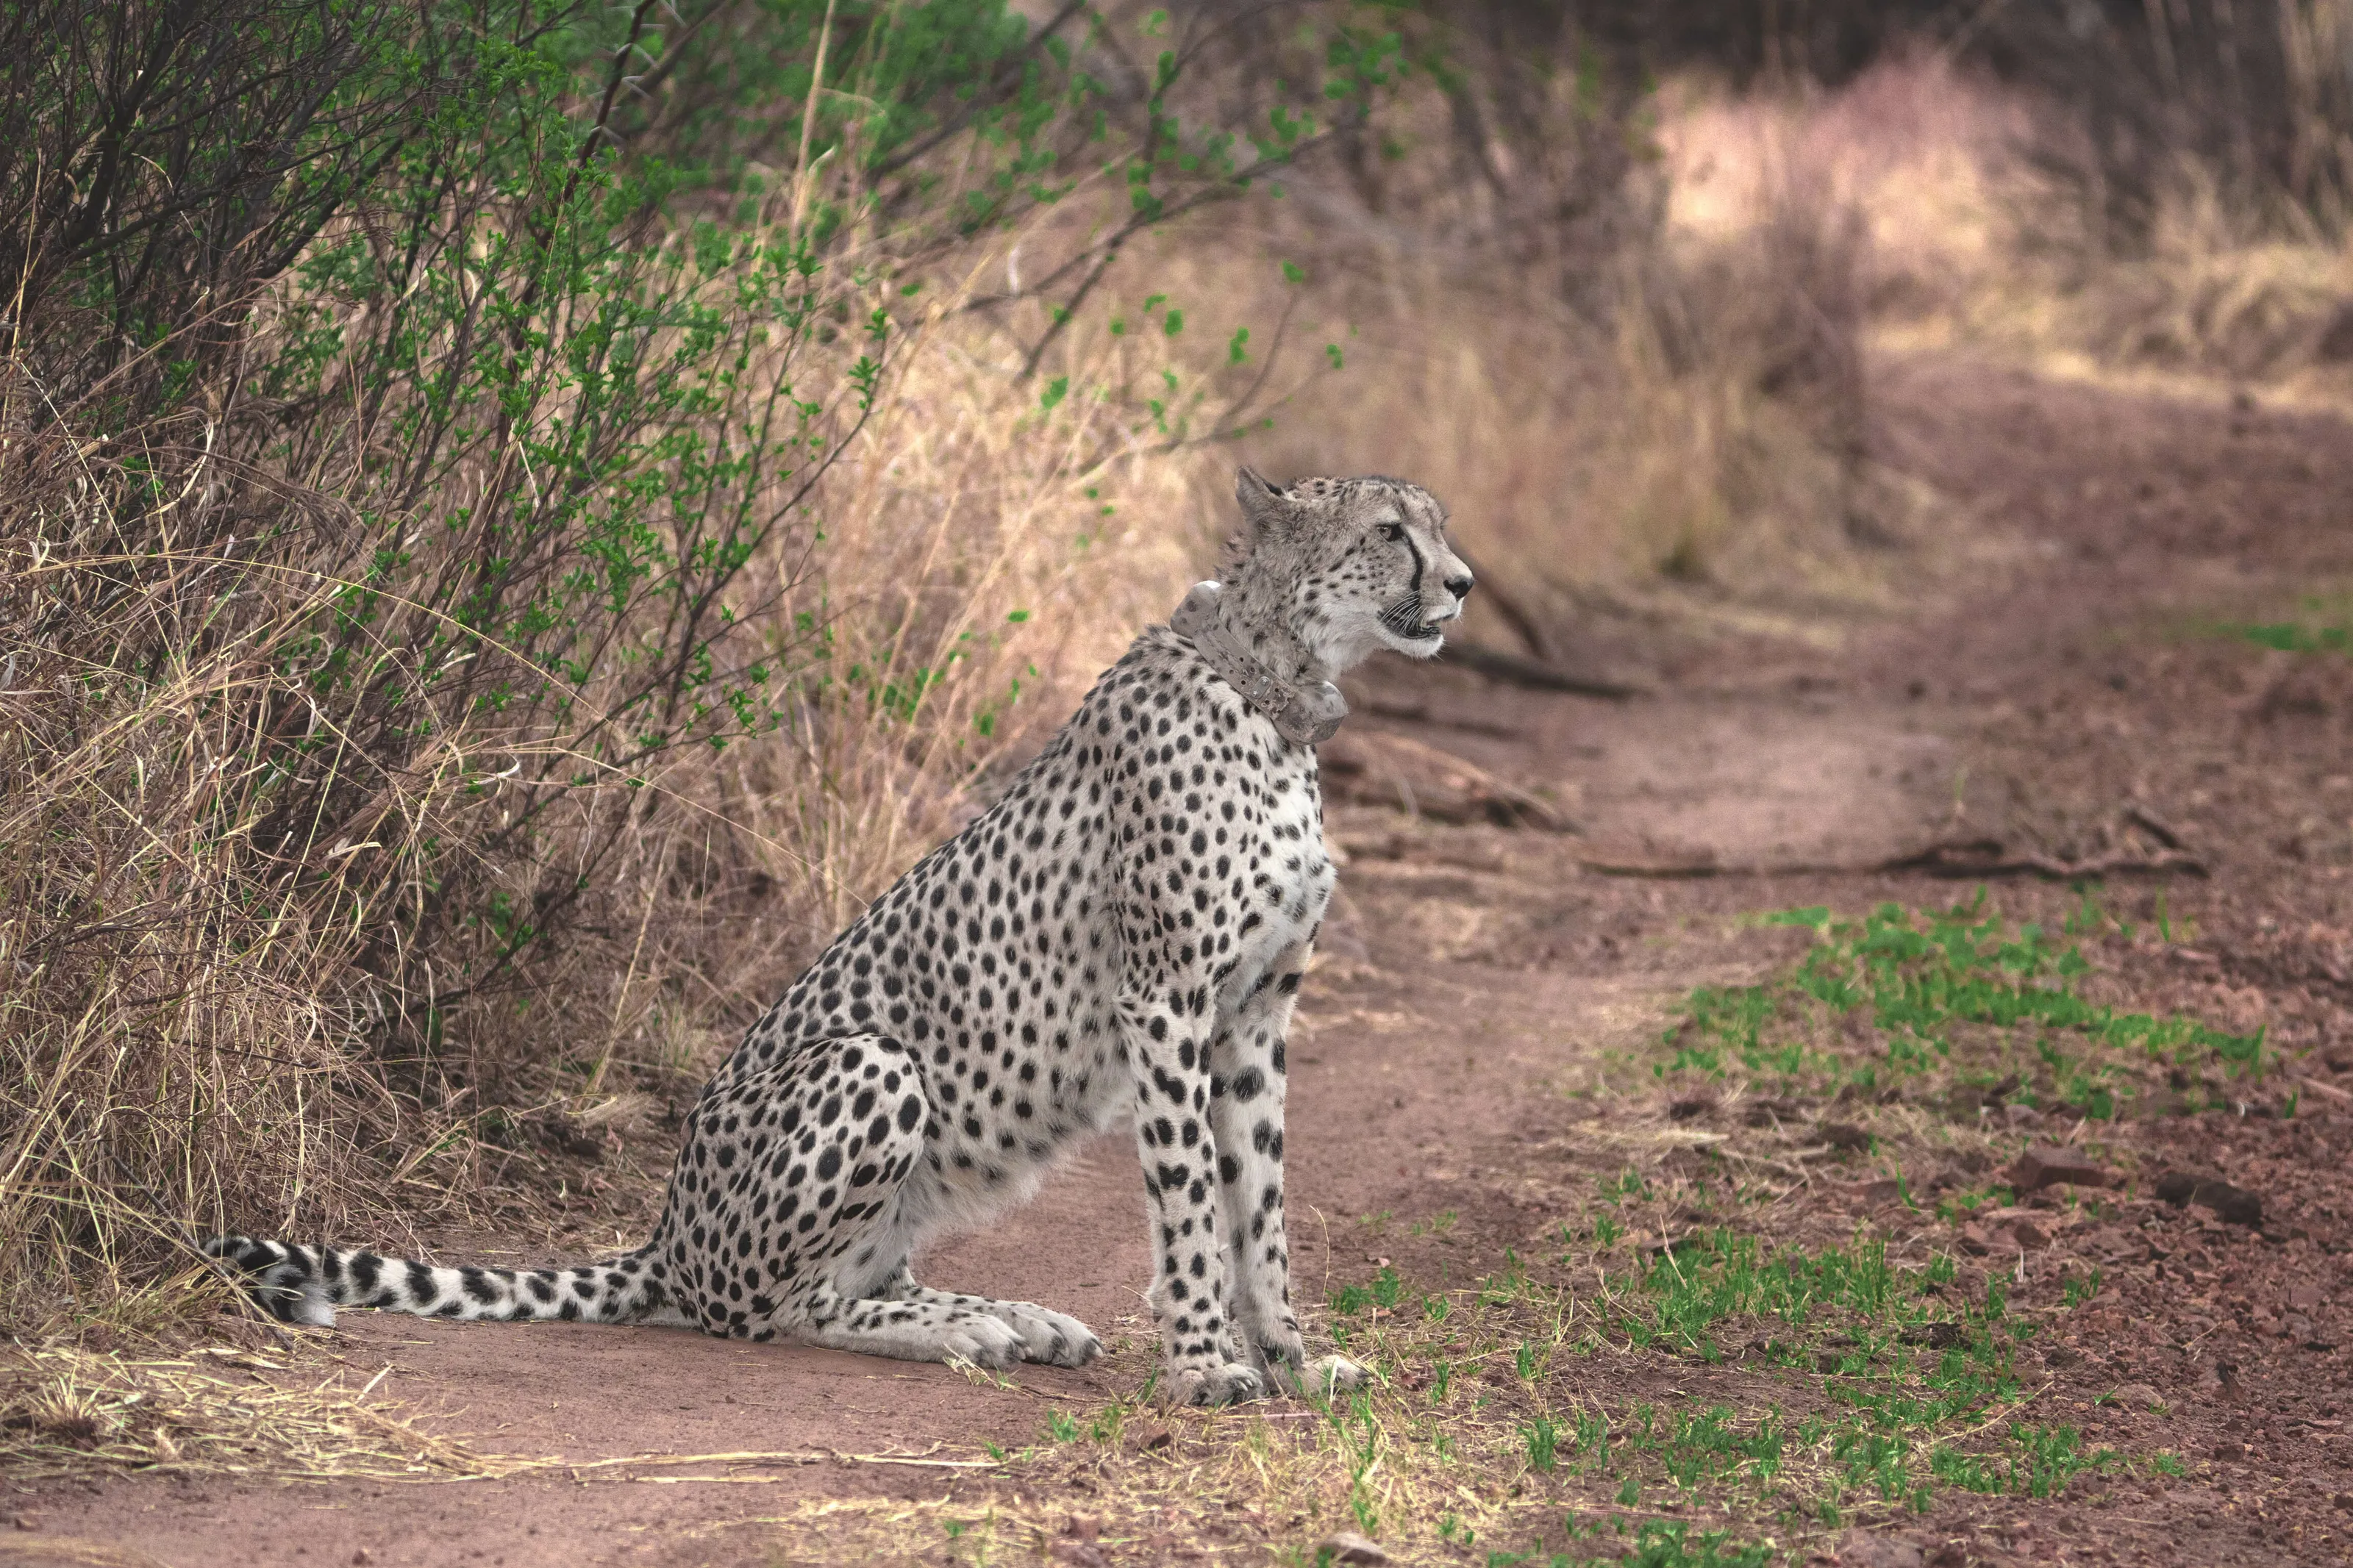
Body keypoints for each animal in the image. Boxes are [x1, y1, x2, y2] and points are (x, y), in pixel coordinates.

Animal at [207, 466, 1475, 1406]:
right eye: (1388, 532)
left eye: (1437, 526)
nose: (1463, 584)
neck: (1277, 686)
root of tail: (668, 1231)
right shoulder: (1166, 996)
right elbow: (1191, 1197)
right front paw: (1209, 1366)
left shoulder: (1256, 1011)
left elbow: (1261, 1203)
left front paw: (1295, 1364)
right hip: (872, 1062)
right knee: (774, 1310)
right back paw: (964, 1335)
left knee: (865, 1278)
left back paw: (1007, 1318)